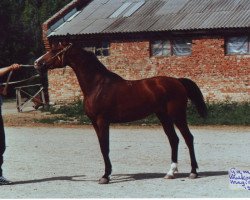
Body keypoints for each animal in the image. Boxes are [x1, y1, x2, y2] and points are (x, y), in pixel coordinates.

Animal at [34, 42, 207, 184]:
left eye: (55, 50)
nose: (37, 63)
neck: (97, 85)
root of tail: (178, 81)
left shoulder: (103, 121)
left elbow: (105, 147)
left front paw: (105, 176)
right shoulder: (94, 122)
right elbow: (102, 147)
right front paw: (107, 174)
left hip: (177, 115)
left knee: (188, 138)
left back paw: (193, 172)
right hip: (164, 117)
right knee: (174, 140)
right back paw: (170, 173)